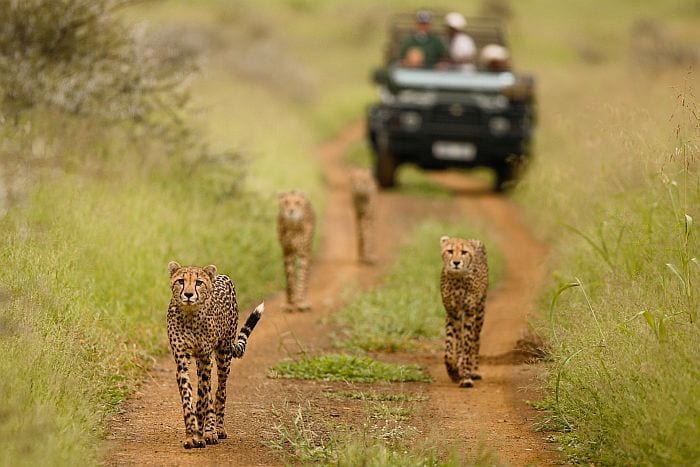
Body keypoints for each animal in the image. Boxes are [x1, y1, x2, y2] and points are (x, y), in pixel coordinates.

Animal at [166, 262, 262, 448]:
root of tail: (222, 276)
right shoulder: (183, 363)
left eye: (198, 282)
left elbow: (202, 400)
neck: (190, 314)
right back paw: (209, 431)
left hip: (224, 354)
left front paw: (198, 434)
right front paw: (191, 436)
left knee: (220, 391)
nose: (188, 295)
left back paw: (216, 429)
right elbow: (189, 400)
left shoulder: (205, 359)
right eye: (181, 281)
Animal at [440, 238, 490, 388]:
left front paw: (466, 377)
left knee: (475, 341)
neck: (457, 279)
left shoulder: (469, 313)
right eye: (450, 251)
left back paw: (474, 371)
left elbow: (468, 345)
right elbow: (449, 349)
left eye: (464, 252)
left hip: (480, 311)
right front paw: (453, 371)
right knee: (460, 341)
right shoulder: (451, 313)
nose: (456, 262)